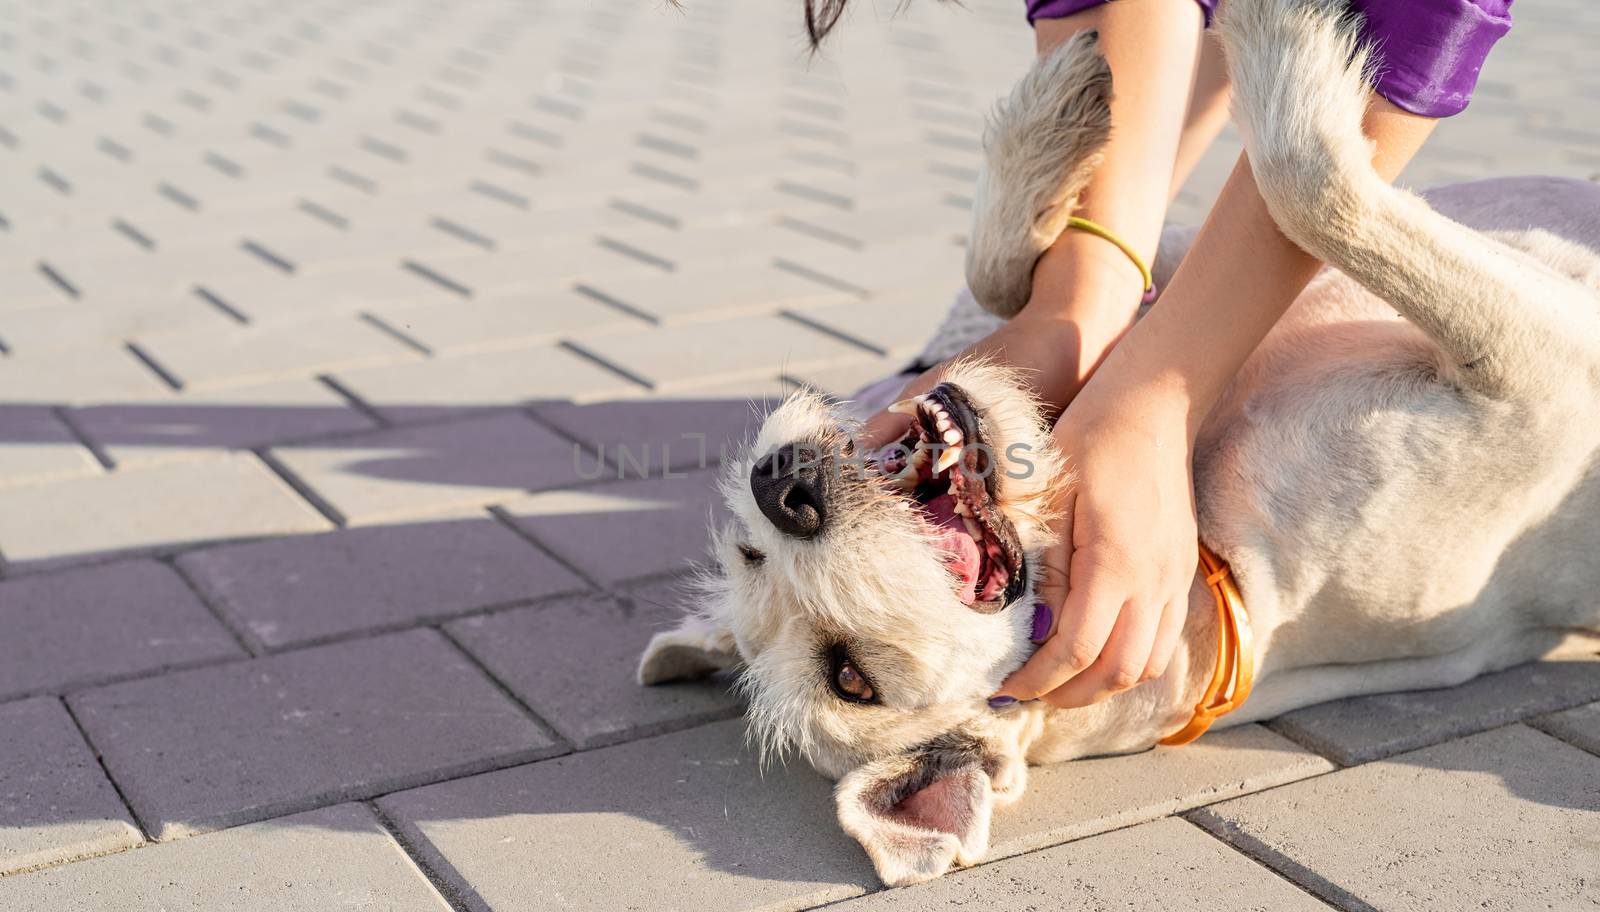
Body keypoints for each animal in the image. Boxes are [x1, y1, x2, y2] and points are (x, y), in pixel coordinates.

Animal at [636, 0, 1600, 883]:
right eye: (850, 680)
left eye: (745, 553)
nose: (781, 488)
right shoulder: (1544, 376)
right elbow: (1314, 188)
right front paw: (1278, 33)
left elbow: (1019, 276)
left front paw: (1050, 123)